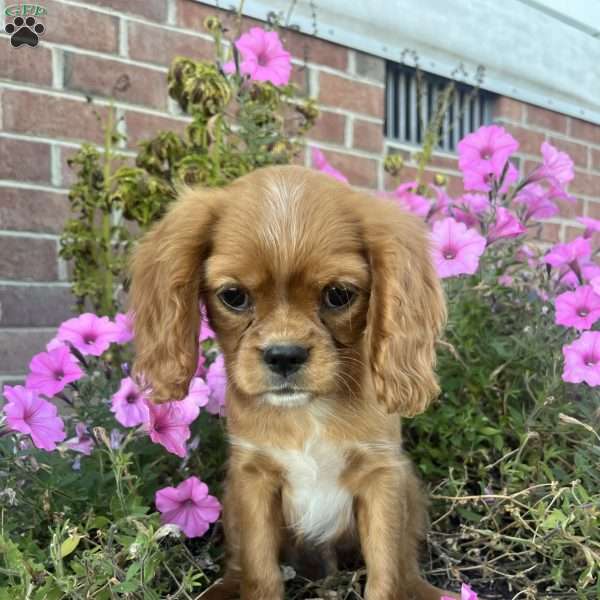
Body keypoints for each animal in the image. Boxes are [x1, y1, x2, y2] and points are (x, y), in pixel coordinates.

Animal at [130, 165, 454, 600]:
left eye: (339, 294)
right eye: (233, 295)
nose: (284, 355)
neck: (306, 410)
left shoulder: (382, 475)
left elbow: (386, 571)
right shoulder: (253, 479)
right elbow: (259, 569)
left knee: (406, 560)